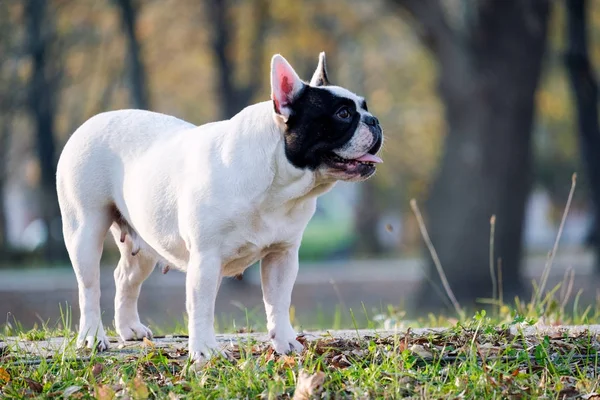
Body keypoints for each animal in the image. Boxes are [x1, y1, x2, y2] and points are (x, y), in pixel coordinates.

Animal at [56, 51, 384, 360]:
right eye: (343, 114)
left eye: (365, 107)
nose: (374, 121)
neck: (277, 185)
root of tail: (91, 122)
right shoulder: (206, 257)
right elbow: (201, 307)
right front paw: (204, 352)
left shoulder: (282, 255)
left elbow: (278, 302)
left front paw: (285, 343)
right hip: (85, 231)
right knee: (89, 287)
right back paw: (91, 336)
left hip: (144, 243)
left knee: (125, 278)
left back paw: (129, 329)